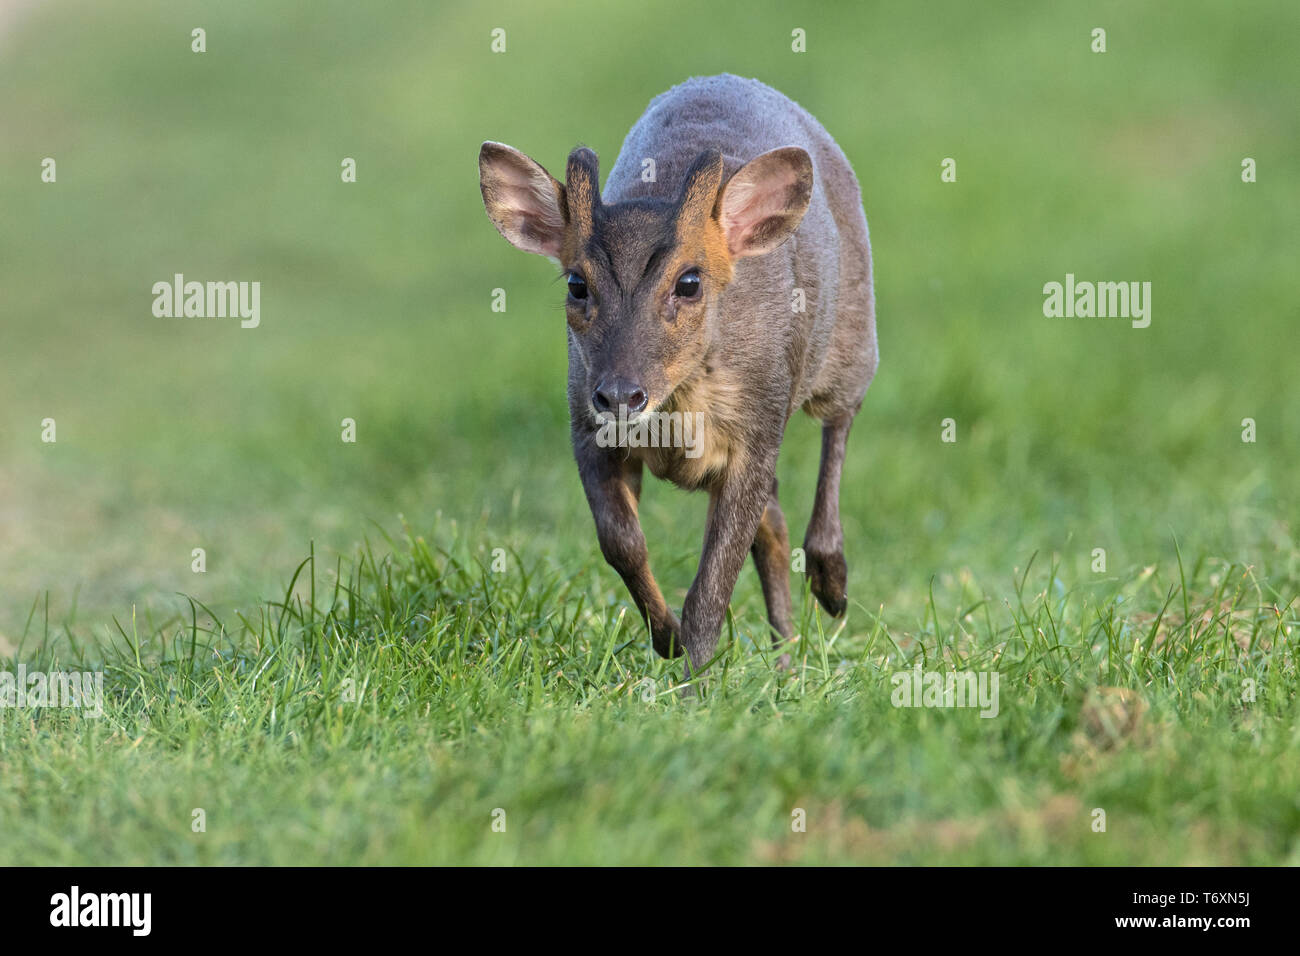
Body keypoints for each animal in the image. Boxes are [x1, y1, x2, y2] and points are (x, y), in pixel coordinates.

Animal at [478, 74, 878, 679]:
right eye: (576, 284)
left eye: (689, 282)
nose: (621, 394)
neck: (680, 408)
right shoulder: (585, 424)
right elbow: (621, 542)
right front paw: (665, 638)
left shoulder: (757, 431)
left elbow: (710, 589)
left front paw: (690, 684)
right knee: (774, 525)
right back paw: (786, 660)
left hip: (852, 336)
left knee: (840, 421)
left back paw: (832, 588)